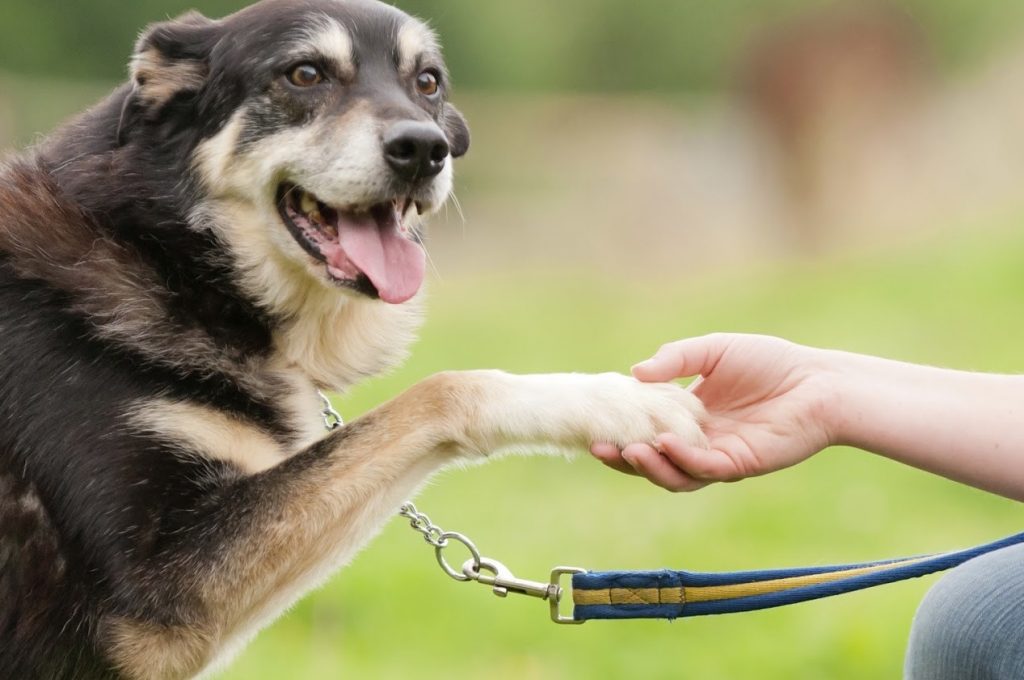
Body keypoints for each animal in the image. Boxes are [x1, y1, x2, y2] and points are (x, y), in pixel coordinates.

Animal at [0, 2, 704, 675]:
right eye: (305, 73)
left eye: (427, 82)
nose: (424, 149)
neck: (171, 258)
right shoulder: (160, 596)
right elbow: (440, 390)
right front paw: (620, 402)